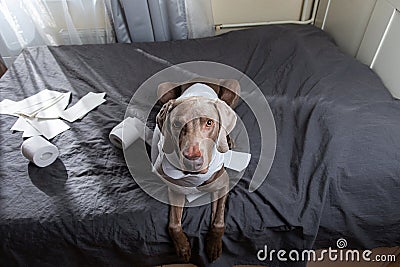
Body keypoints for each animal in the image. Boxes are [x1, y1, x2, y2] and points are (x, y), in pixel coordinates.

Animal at [152, 77, 241, 262]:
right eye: (177, 124)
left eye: (209, 123)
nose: (192, 159)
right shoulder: (175, 189)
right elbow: (173, 225)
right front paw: (183, 248)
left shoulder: (223, 183)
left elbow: (219, 221)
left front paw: (213, 246)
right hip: (163, 88)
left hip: (233, 85)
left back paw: (228, 140)